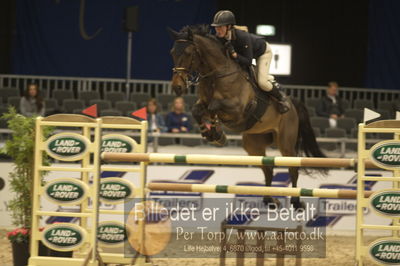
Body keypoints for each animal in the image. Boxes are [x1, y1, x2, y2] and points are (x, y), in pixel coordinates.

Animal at [167, 25, 324, 208]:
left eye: (188, 53)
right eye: (172, 52)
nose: (177, 87)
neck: (216, 74)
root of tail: (293, 104)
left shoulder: (237, 109)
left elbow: (214, 106)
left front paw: (217, 134)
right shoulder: (203, 103)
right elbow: (197, 111)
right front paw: (211, 134)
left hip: (286, 142)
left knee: (293, 168)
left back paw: (296, 202)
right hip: (253, 144)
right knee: (268, 168)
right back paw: (269, 200)